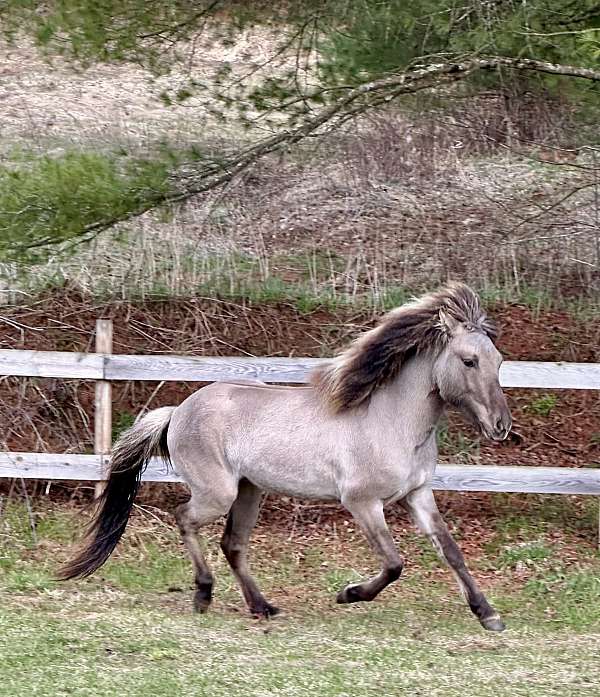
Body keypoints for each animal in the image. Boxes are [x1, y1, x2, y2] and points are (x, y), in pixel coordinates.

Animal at [60, 282, 512, 632]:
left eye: (499, 360)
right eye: (468, 360)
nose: (501, 426)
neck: (391, 422)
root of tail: (177, 411)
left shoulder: (418, 495)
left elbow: (450, 550)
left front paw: (488, 614)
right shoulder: (362, 502)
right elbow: (394, 562)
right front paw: (349, 594)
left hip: (249, 490)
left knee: (232, 544)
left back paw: (261, 607)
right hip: (218, 493)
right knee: (184, 518)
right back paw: (204, 594)